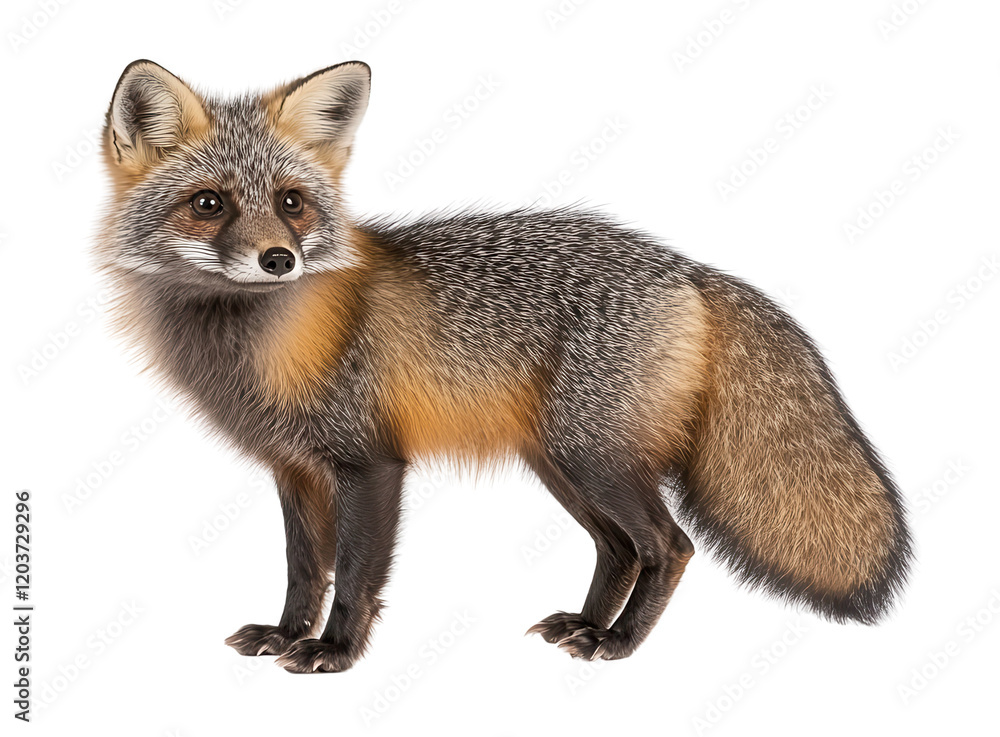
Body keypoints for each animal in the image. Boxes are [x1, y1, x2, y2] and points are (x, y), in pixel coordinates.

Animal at [97, 59, 912, 673]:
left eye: (292, 203)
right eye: (209, 203)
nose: (278, 259)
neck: (257, 343)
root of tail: (686, 267)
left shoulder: (370, 462)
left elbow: (354, 575)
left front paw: (333, 652)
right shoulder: (292, 468)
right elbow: (305, 569)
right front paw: (286, 634)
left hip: (592, 458)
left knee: (669, 545)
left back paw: (619, 643)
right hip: (563, 463)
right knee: (620, 548)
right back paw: (586, 624)